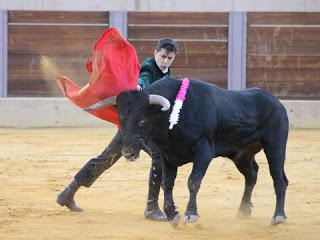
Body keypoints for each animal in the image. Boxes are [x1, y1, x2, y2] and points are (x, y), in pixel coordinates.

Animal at [84, 77, 288, 227]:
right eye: (121, 119)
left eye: (142, 120)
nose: (127, 153)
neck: (173, 116)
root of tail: (277, 103)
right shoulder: (167, 156)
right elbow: (166, 184)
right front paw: (172, 215)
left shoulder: (204, 151)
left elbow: (193, 181)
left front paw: (191, 214)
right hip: (242, 154)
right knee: (252, 174)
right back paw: (243, 210)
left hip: (275, 146)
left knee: (279, 178)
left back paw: (278, 216)